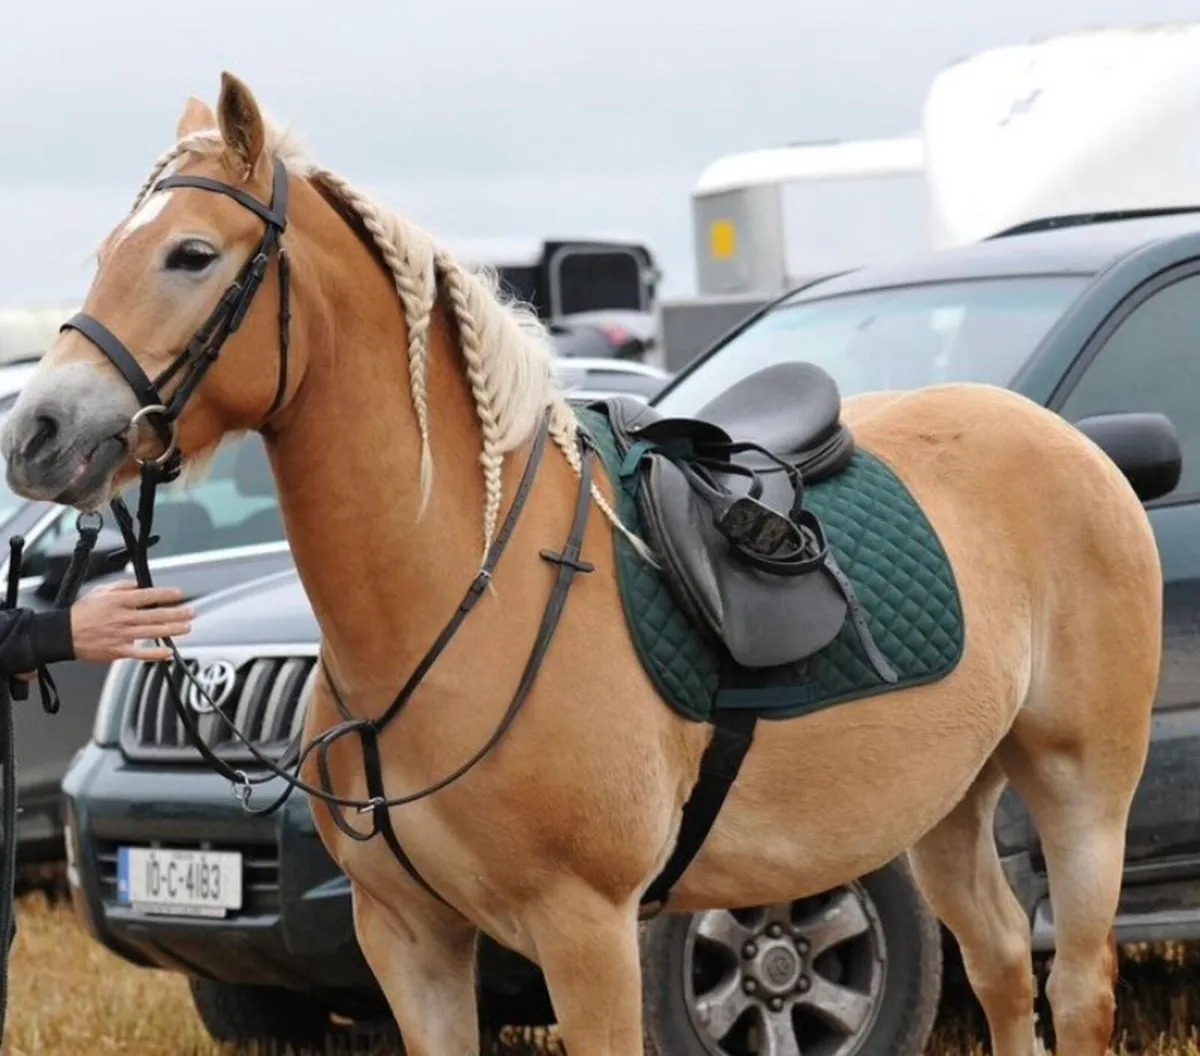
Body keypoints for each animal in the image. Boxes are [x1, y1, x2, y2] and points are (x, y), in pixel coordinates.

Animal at [1, 73, 1162, 1056]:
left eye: (191, 255)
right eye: (106, 250)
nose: (35, 434)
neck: (457, 600)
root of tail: (1081, 448)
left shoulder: (587, 935)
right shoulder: (408, 940)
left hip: (1082, 793)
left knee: (1075, 989)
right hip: (947, 805)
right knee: (1004, 969)